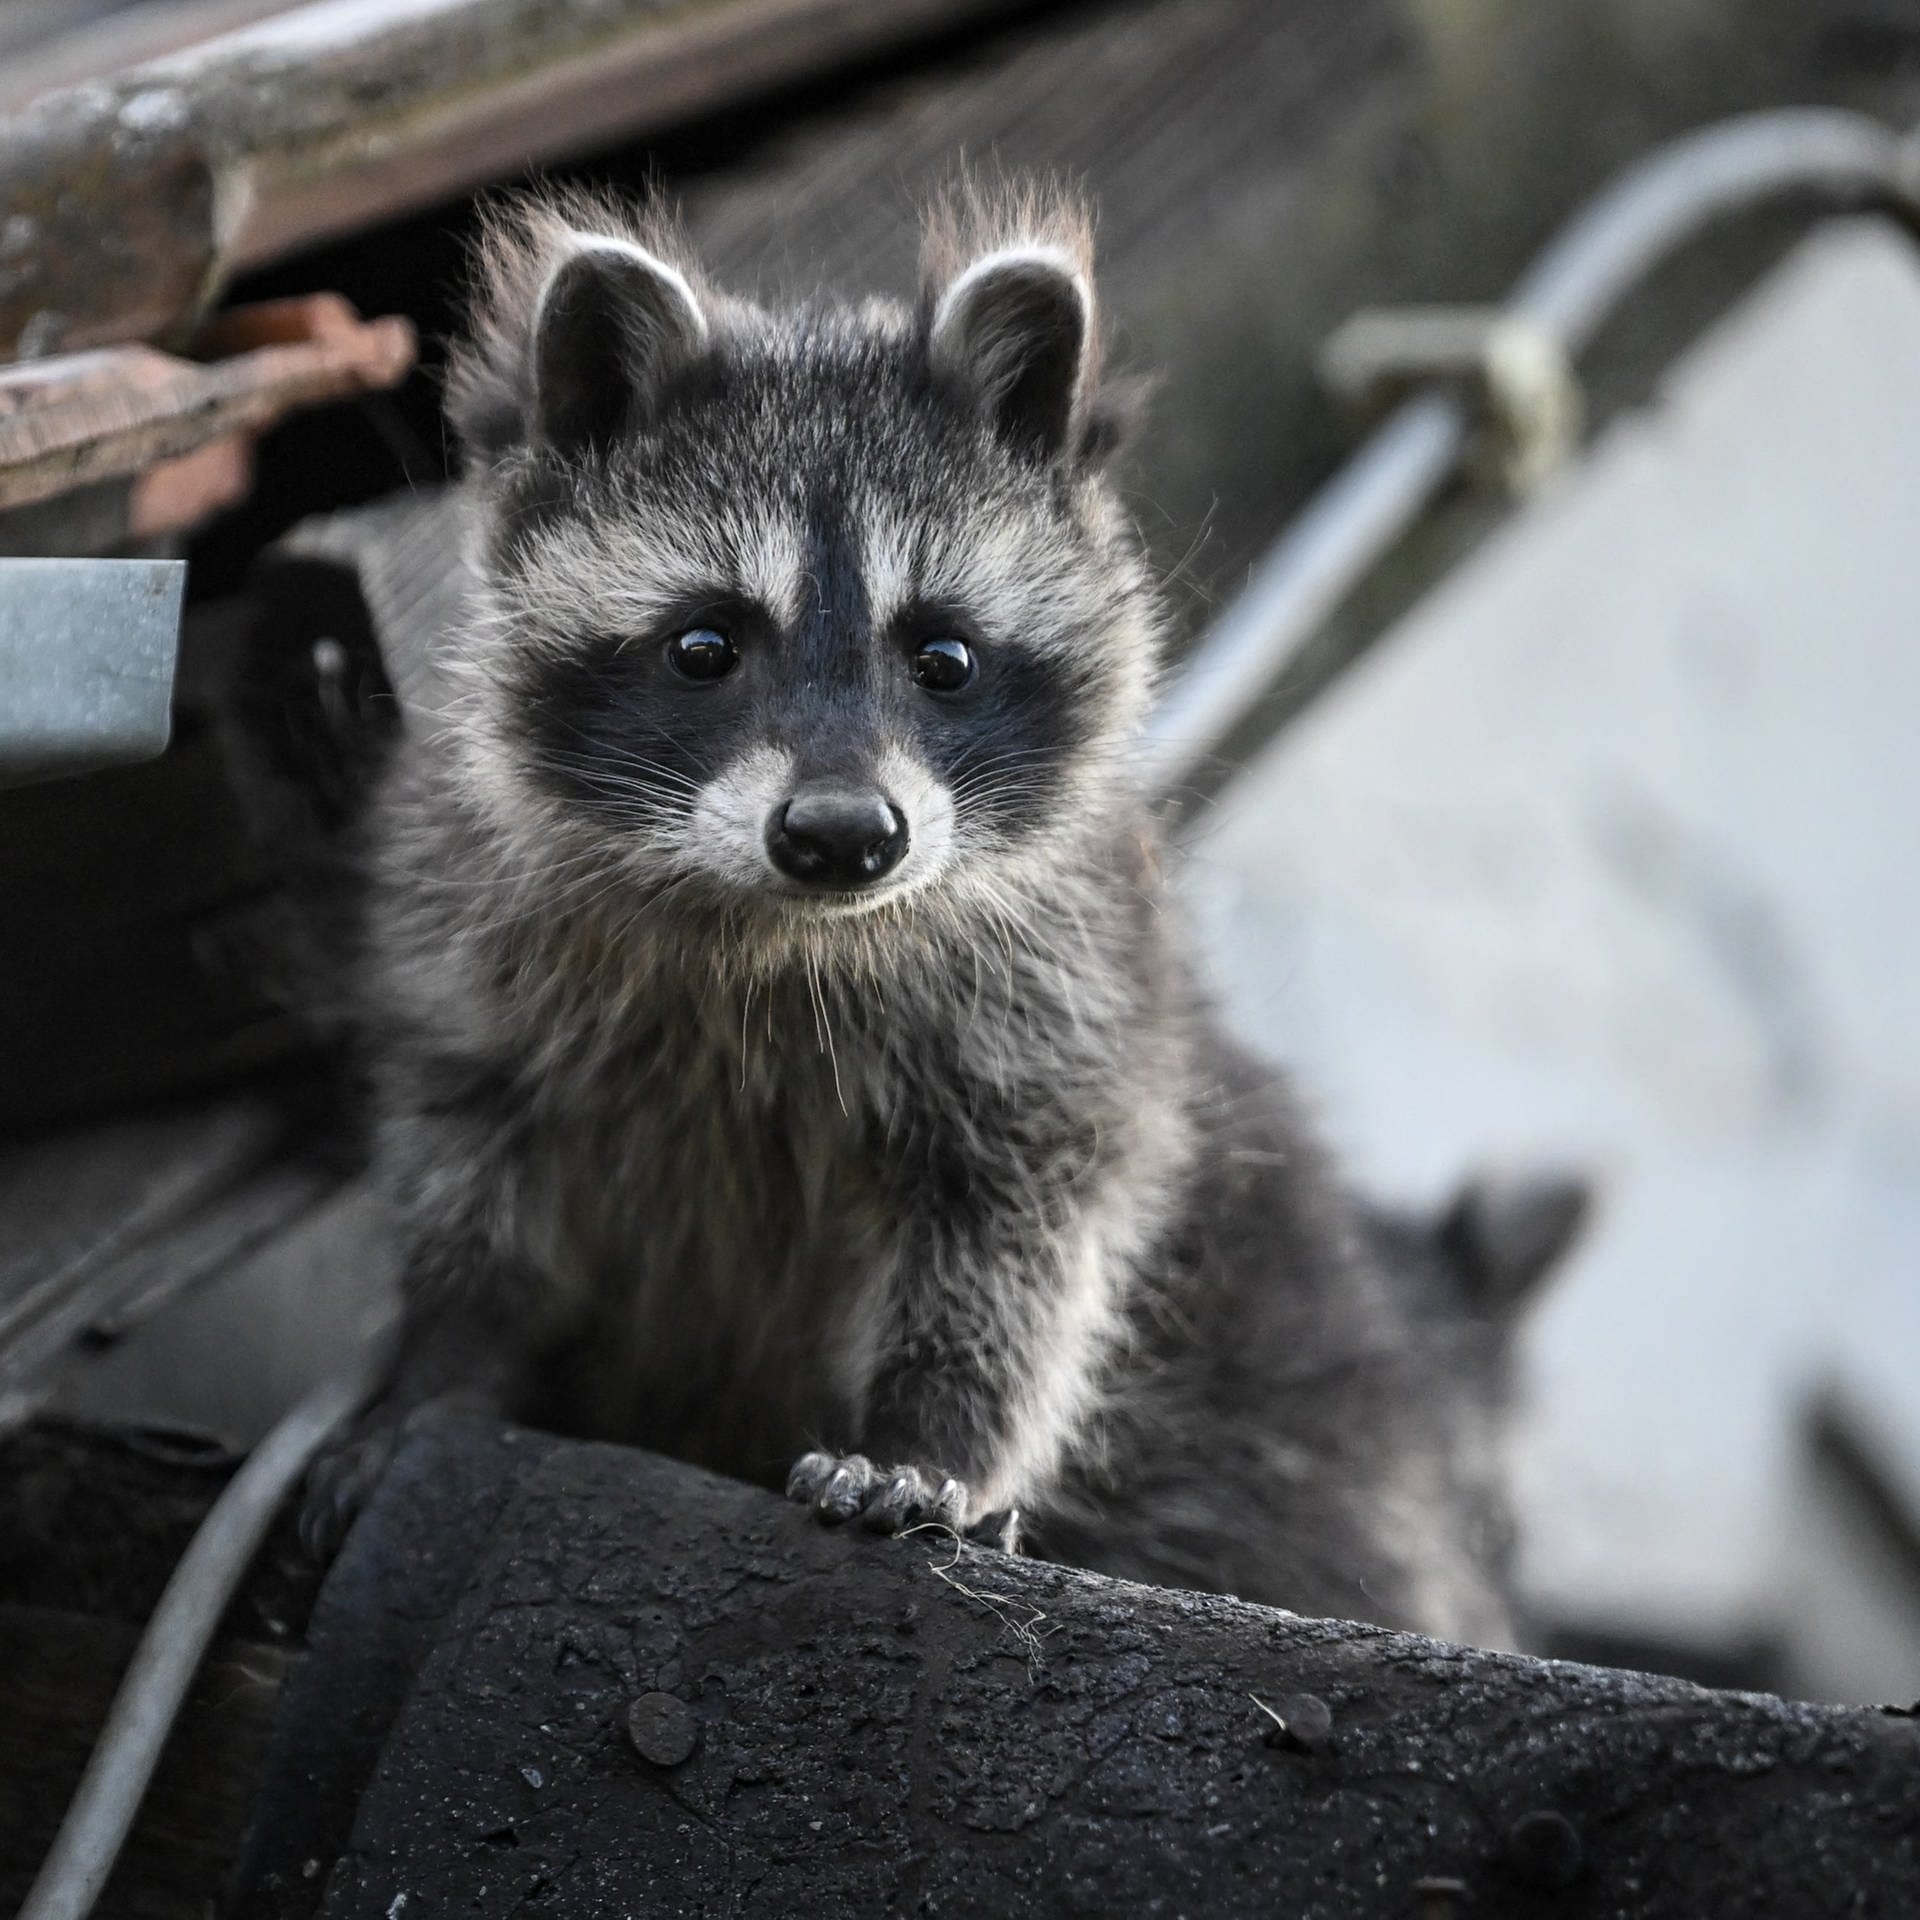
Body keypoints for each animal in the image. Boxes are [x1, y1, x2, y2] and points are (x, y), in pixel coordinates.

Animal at [330, 180, 1574, 1643]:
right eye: (704, 646)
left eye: (944, 657)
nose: (841, 838)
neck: (782, 932)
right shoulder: (467, 934)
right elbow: (474, 1174)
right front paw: (441, 1360)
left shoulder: (1072, 991)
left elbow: (1019, 1233)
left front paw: (934, 1438)